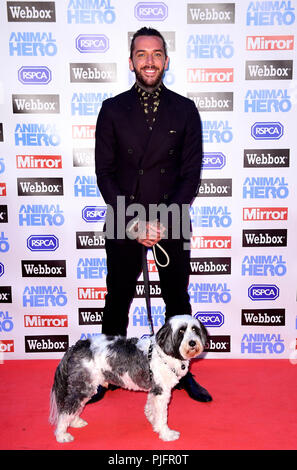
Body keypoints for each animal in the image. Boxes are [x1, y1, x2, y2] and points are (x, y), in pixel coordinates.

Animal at [49, 314, 206, 442]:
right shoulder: (161, 391)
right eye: (181, 331)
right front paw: (166, 433)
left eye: (194, 330)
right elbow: (162, 415)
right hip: (84, 385)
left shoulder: (154, 389)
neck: (165, 352)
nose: (192, 343)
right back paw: (61, 434)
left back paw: (75, 422)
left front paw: (152, 420)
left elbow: (151, 406)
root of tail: (76, 346)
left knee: (74, 406)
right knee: (67, 408)